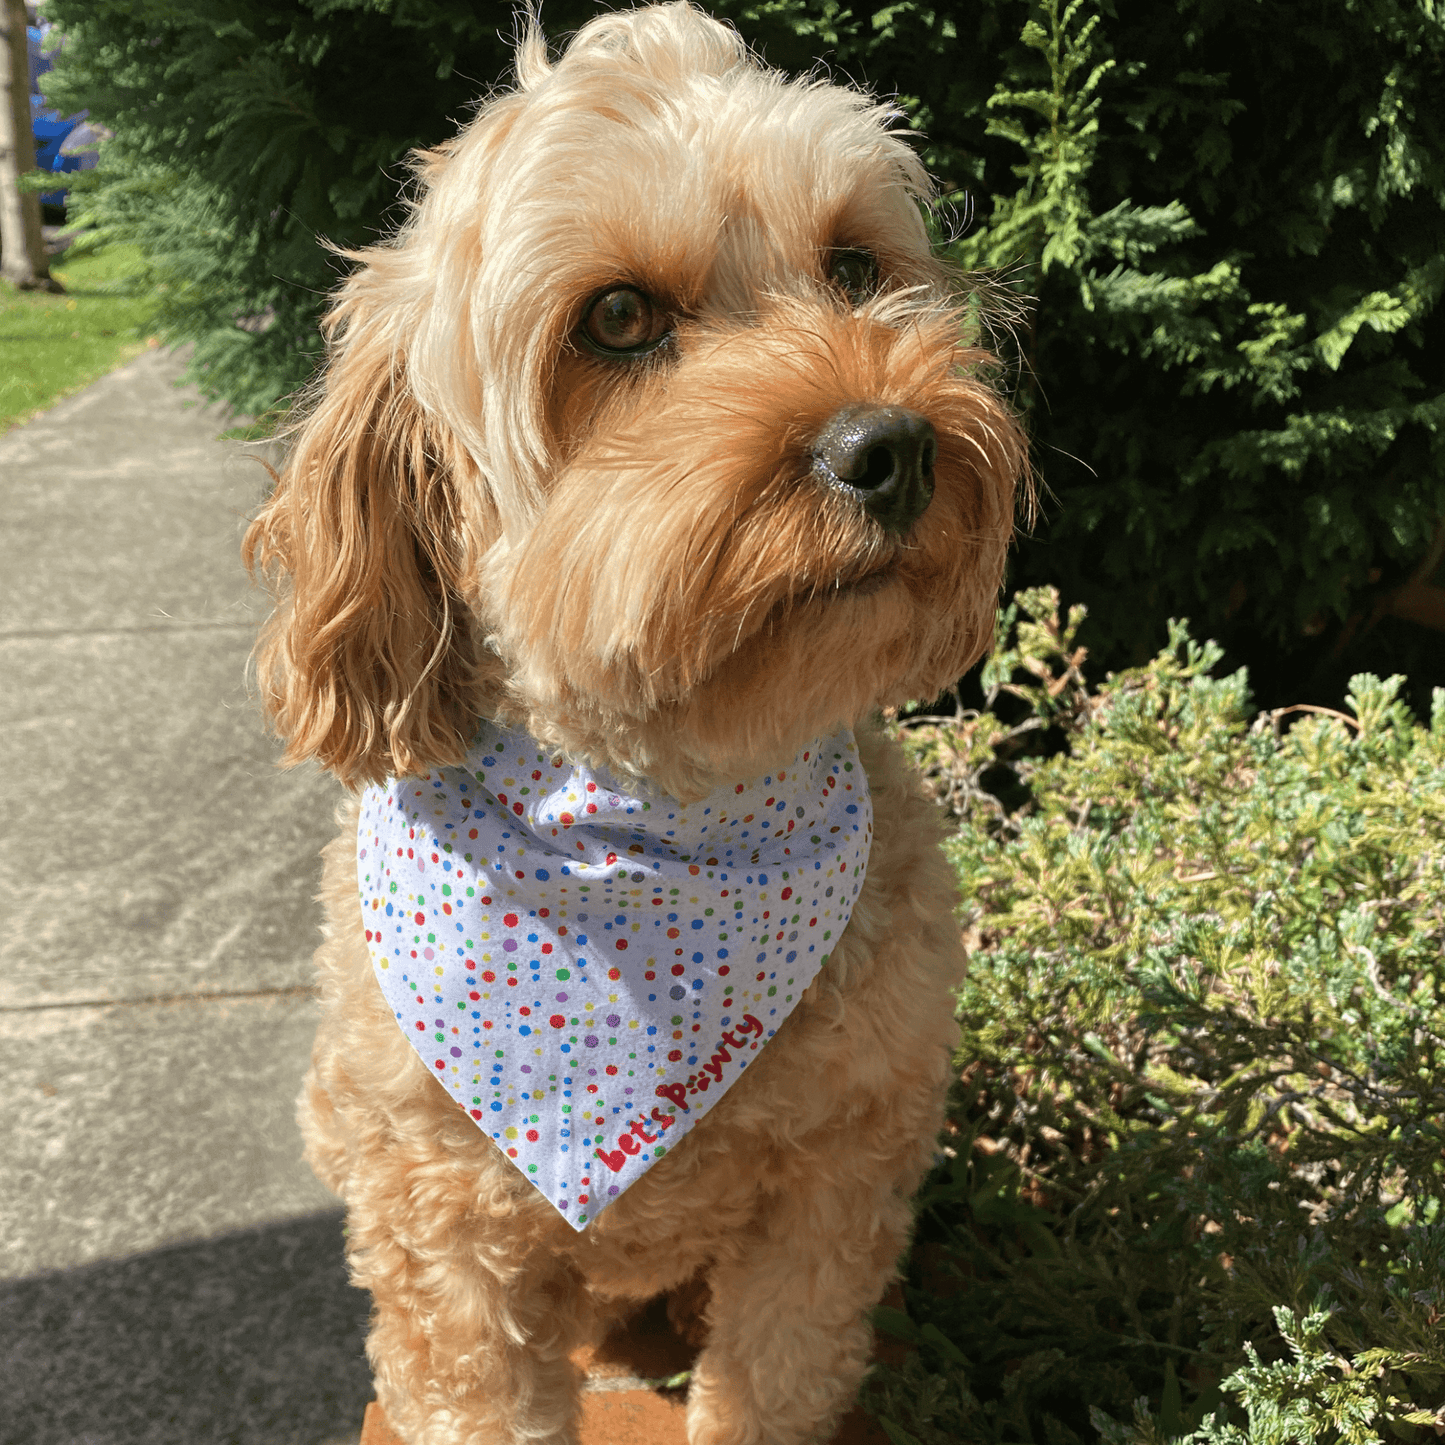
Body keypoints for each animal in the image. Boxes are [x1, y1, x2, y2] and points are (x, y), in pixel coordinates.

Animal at [242, 5, 1023, 1439]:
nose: (889, 444)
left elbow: (775, 1373)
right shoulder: (443, 1234)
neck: (661, 806)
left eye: (851, 265)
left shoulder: (836, 1182)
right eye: (616, 317)